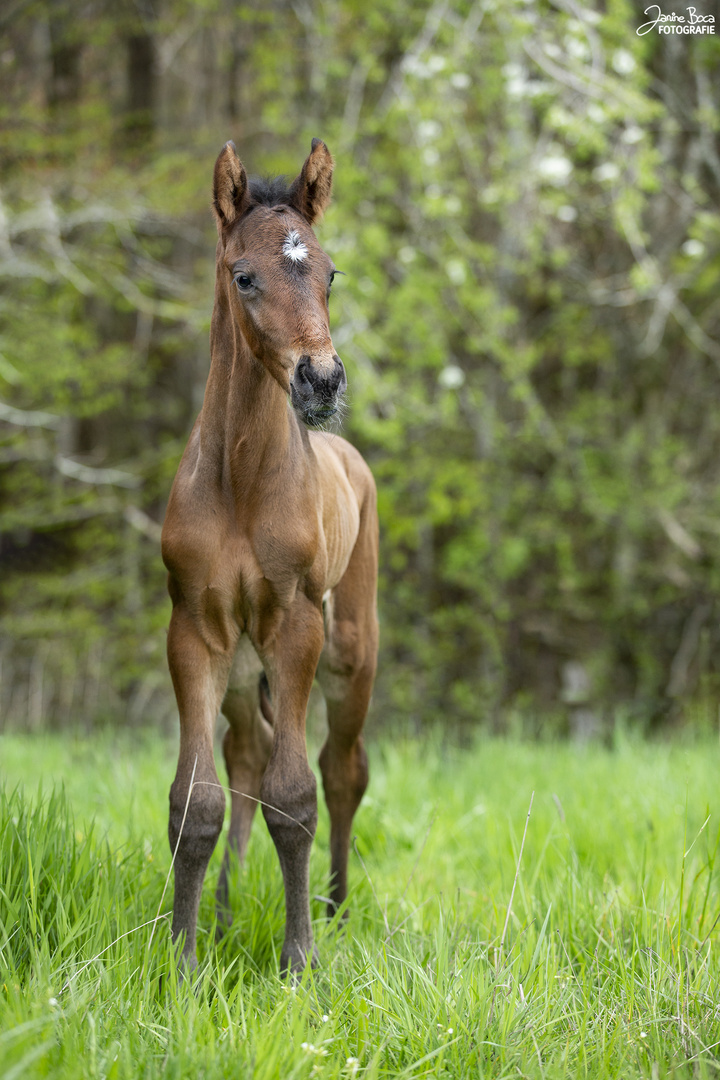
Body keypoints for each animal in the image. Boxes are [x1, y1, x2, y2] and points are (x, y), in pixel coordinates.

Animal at [160, 139, 379, 976]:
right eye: (244, 275)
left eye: (329, 273)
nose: (321, 380)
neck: (242, 483)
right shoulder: (195, 631)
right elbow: (198, 801)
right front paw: (184, 965)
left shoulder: (295, 626)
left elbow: (296, 795)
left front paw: (299, 963)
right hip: (238, 669)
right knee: (246, 759)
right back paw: (224, 916)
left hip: (350, 652)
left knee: (343, 770)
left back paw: (338, 909)